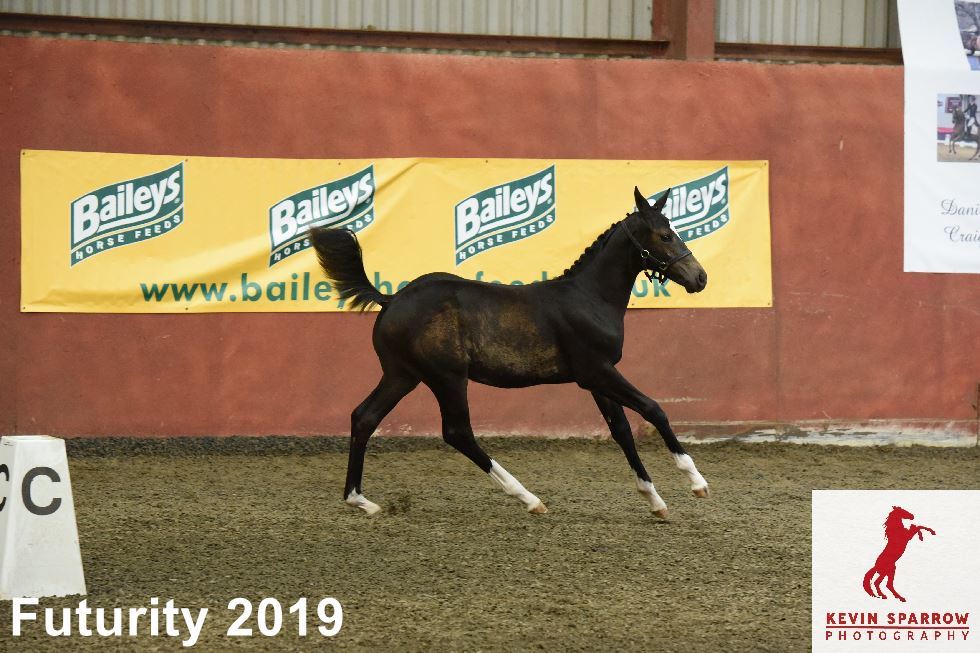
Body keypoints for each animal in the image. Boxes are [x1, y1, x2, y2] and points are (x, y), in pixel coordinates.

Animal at [310, 187, 709, 518]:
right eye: (664, 235)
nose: (700, 278)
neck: (590, 297)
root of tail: (391, 299)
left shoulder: (597, 378)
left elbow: (622, 430)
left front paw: (655, 500)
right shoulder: (597, 370)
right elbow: (653, 409)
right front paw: (696, 482)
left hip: (402, 375)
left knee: (364, 417)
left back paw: (361, 501)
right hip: (447, 377)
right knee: (457, 432)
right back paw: (528, 498)